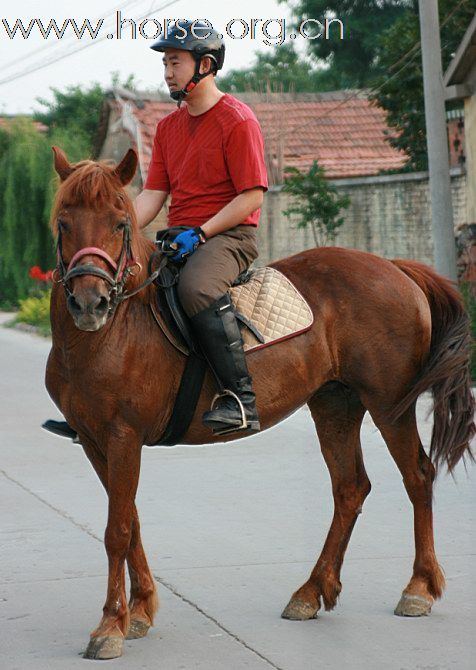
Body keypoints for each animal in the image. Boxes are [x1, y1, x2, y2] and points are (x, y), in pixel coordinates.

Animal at [43, 148, 472, 660]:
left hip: (390, 404)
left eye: (120, 222)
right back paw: (311, 592)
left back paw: (419, 588)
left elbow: (117, 530)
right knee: (350, 488)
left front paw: (110, 625)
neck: (111, 332)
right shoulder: (95, 441)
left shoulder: (123, 436)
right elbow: (130, 520)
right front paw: (141, 611)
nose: (91, 303)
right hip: (335, 404)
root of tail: (394, 267)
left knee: (417, 476)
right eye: (64, 223)